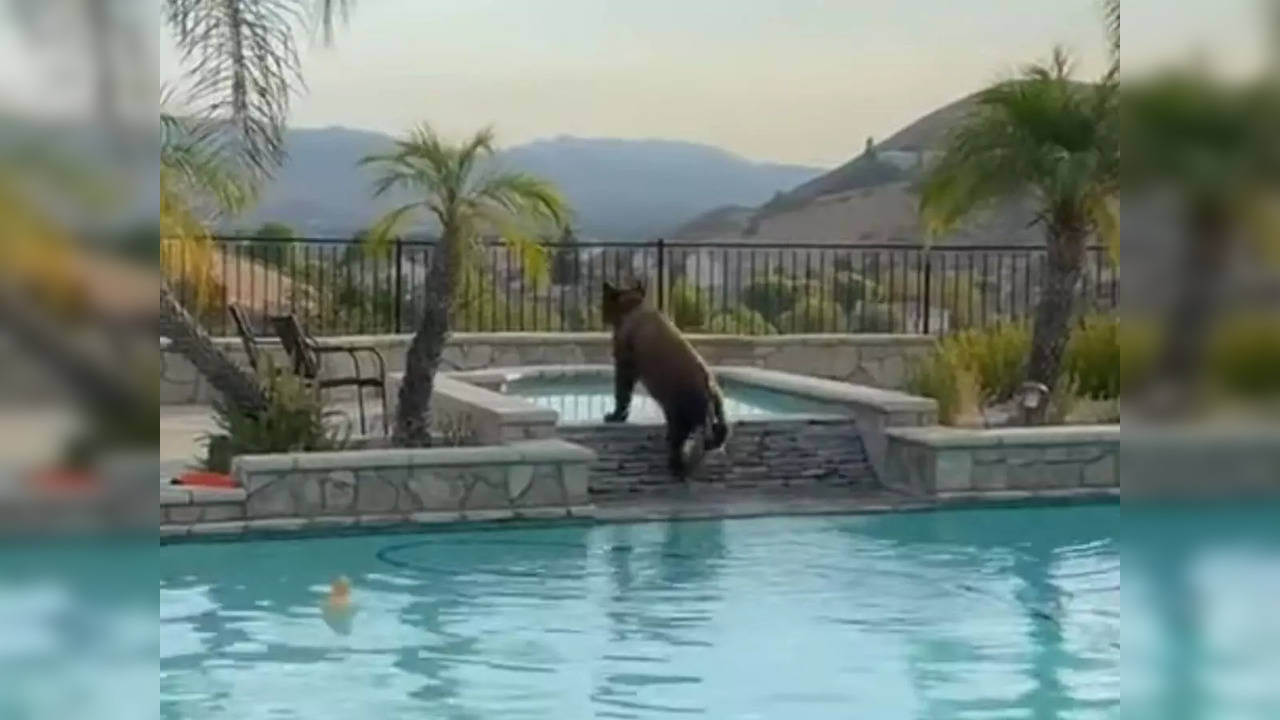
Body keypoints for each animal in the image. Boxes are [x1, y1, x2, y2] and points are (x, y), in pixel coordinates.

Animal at [601, 278, 732, 474]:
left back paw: (676, 463)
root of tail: (708, 391)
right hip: (717, 413)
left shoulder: (624, 364)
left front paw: (616, 416)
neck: (634, 306)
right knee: (719, 432)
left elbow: (622, 394)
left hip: (677, 412)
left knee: (680, 440)